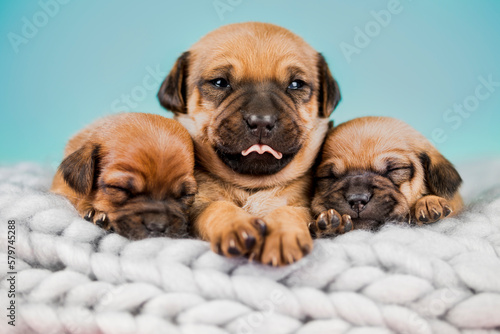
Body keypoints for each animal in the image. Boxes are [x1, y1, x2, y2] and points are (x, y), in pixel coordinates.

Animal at [158, 21, 342, 266]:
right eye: (220, 83)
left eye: (296, 84)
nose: (262, 121)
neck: (253, 187)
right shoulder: (197, 205)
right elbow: (217, 207)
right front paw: (236, 225)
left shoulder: (302, 204)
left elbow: (289, 211)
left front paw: (280, 234)